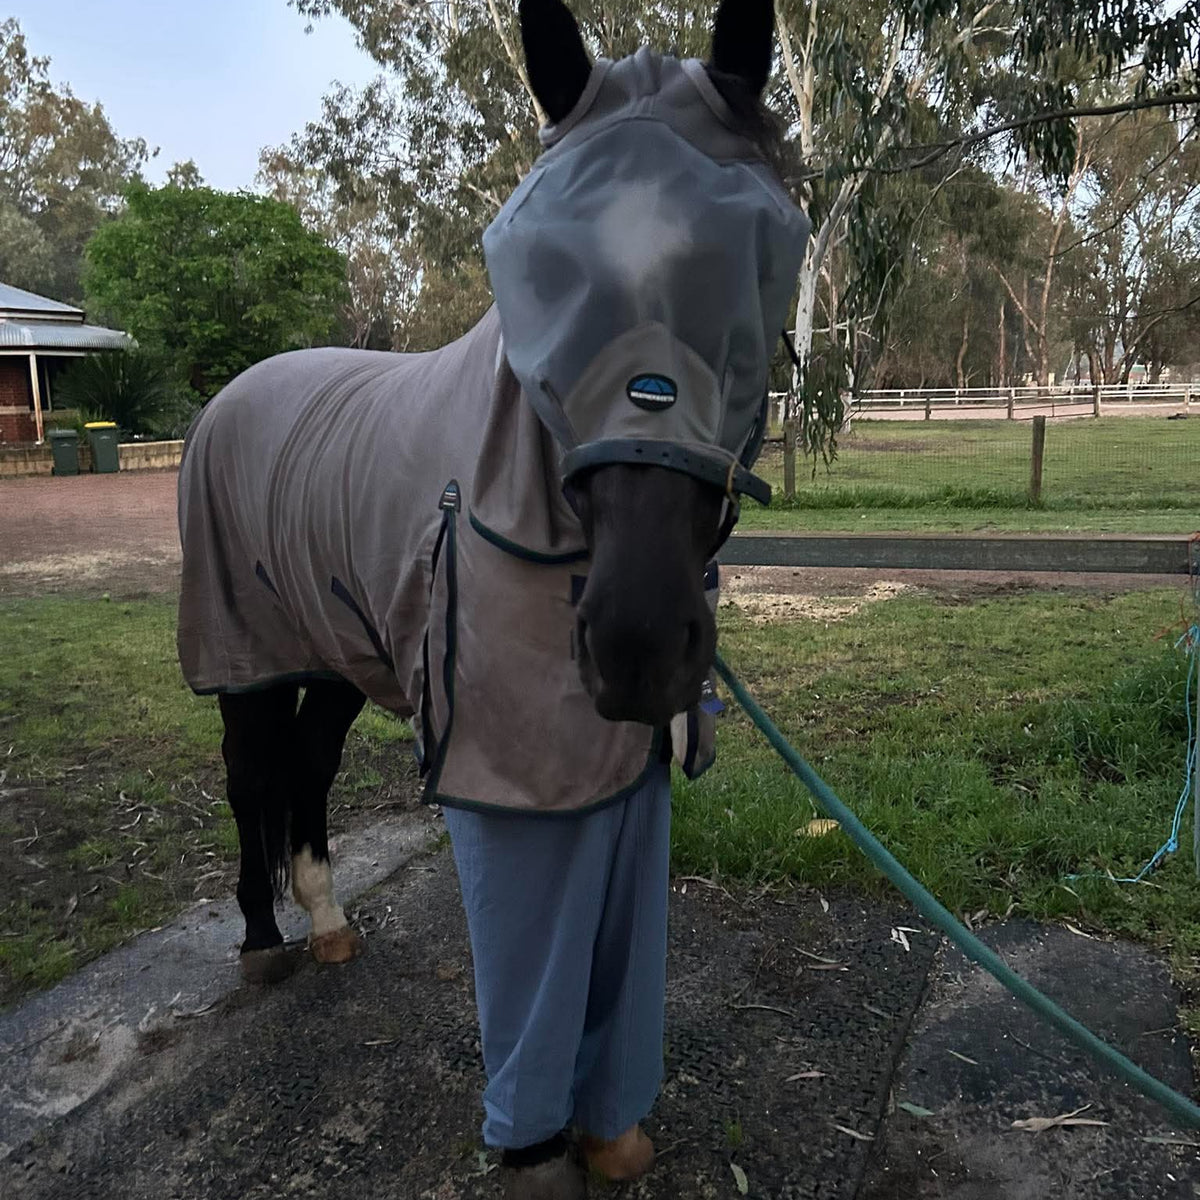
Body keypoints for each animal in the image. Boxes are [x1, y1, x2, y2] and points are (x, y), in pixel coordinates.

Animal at [177, 0, 809, 998]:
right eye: (536, 275)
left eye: (760, 265)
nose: (635, 646)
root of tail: (235, 395)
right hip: (247, 652)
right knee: (251, 775)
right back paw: (262, 939)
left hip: (334, 646)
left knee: (310, 760)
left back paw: (326, 919)